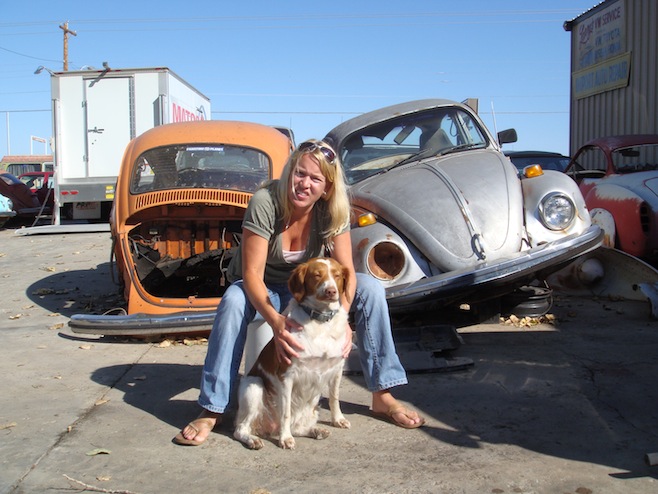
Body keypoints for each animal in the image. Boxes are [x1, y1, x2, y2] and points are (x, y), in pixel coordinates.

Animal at [233, 256, 352, 450]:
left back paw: (316, 430)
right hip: (254, 385)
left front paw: (338, 419)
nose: (331, 291)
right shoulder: (286, 375)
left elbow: (334, 398)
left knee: (298, 427)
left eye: (337, 275)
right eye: (316, 275)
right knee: (240, 429)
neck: (321, 321)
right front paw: (285, 438)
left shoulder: (337, 369)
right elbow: (285, 412)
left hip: (312, 407)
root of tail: (267, 429)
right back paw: (253, 440)